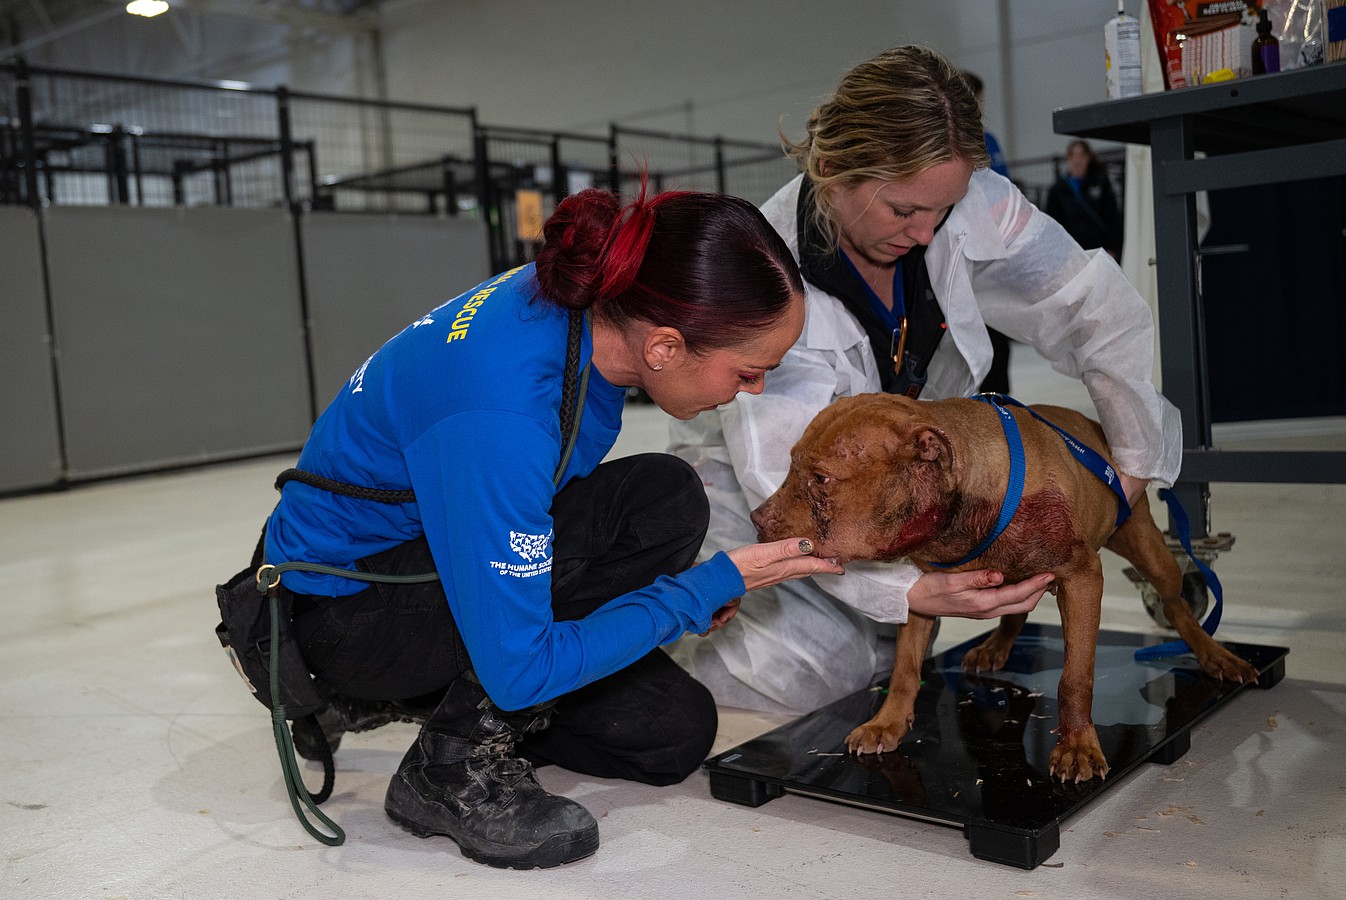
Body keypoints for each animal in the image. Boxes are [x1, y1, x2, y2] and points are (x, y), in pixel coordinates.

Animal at [753, 390, 1254, 780]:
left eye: (821, 478)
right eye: (790, 465)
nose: (758, 518)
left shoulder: (1082, 578)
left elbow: (1075, 678)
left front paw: (1077, 745)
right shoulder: (922, 595)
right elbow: (904, 670)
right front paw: (888, 723)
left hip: (1148, 548)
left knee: (1176, 605)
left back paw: (1216, 655)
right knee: (1018, 609)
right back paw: (996, 646)